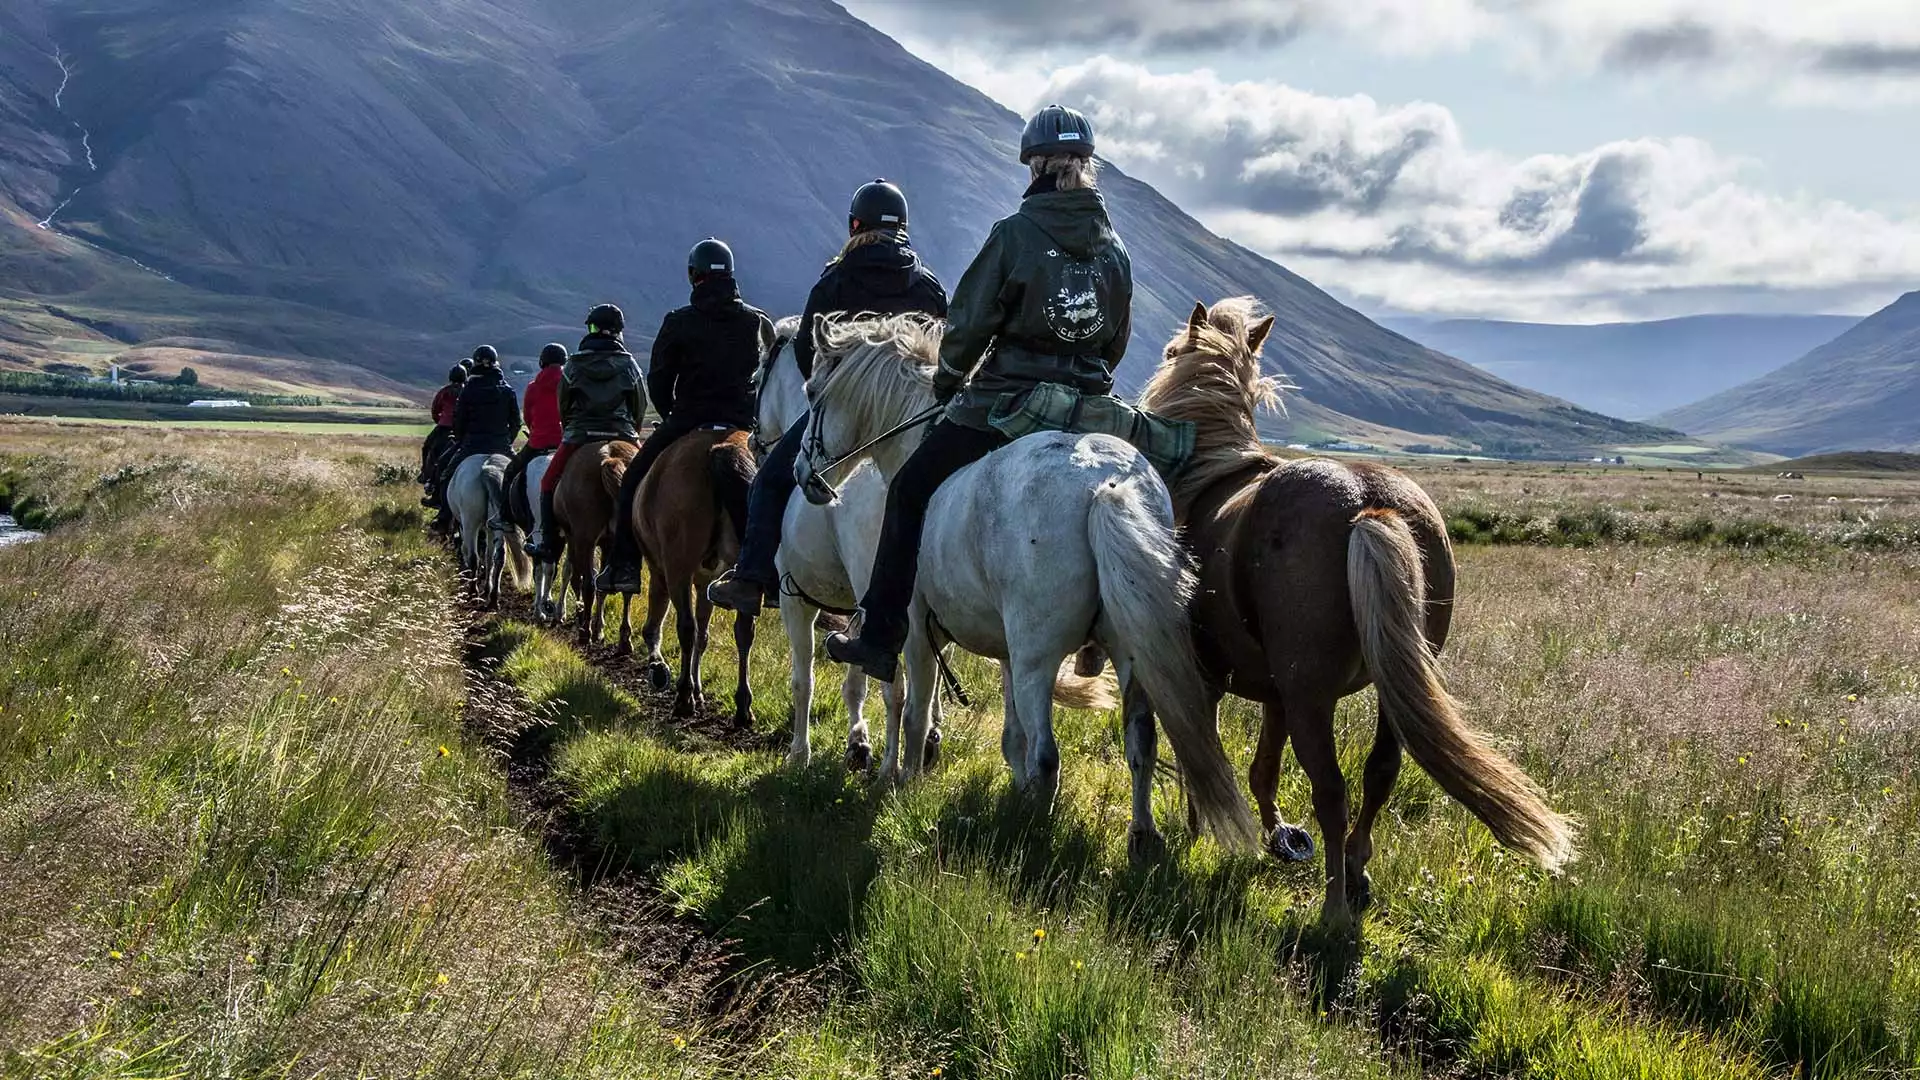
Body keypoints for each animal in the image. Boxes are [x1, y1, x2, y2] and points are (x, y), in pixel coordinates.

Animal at [447, 451, 529, 607]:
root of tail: (486, 468)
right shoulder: (490, 529)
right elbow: (489, 557)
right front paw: (488, 588)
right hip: (499, 525)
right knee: (500, 557)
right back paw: (494, 597)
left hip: (470, 522)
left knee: (474, 557)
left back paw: (473, 592)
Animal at [549, 434, 637, 638]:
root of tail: (610, 456)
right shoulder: (608, 544)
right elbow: (602, 584)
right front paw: (599, 627)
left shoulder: (574, 538)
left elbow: (573, 574)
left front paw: (577, 616)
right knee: (627, 587)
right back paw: (624, 637)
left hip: (585, 540)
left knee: (587, 583)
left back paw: (585, 632)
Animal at [625, 424, 752, 718]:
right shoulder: (706, 582)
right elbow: (703, 636)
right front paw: (698, 689)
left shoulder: (662, 572)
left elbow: (657, 624)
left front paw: (660, 669)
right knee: (743, 632)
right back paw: (742, 706)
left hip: (677, 569)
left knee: (685, 627)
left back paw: (683, 698)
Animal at [794, 313, 1259, 849]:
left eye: (812, 391)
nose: (804, 475)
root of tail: (1106, 485)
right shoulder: (1006, 650)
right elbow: (1008, 733)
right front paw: (1005, 783)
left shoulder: (914, 626)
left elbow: (911, 710)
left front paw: (902, 781)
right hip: (1131, 653)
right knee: (1139, 740)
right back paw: (1140, 834)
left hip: (1040, 655)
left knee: (1048, 754)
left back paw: (1029, 832)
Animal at [1136, 297, 1574, 922]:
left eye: (1172, 351)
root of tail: (1370, 503)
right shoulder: (1275, 693)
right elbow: (1262, 770)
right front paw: (1274, 837)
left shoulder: (1215, 678)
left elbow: (1204, 752)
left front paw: (1204, 830)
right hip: (1389, 687)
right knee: (1379, 772)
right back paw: (1356, 868)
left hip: (1312, 696)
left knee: (1332, 789)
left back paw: (1335, 907)